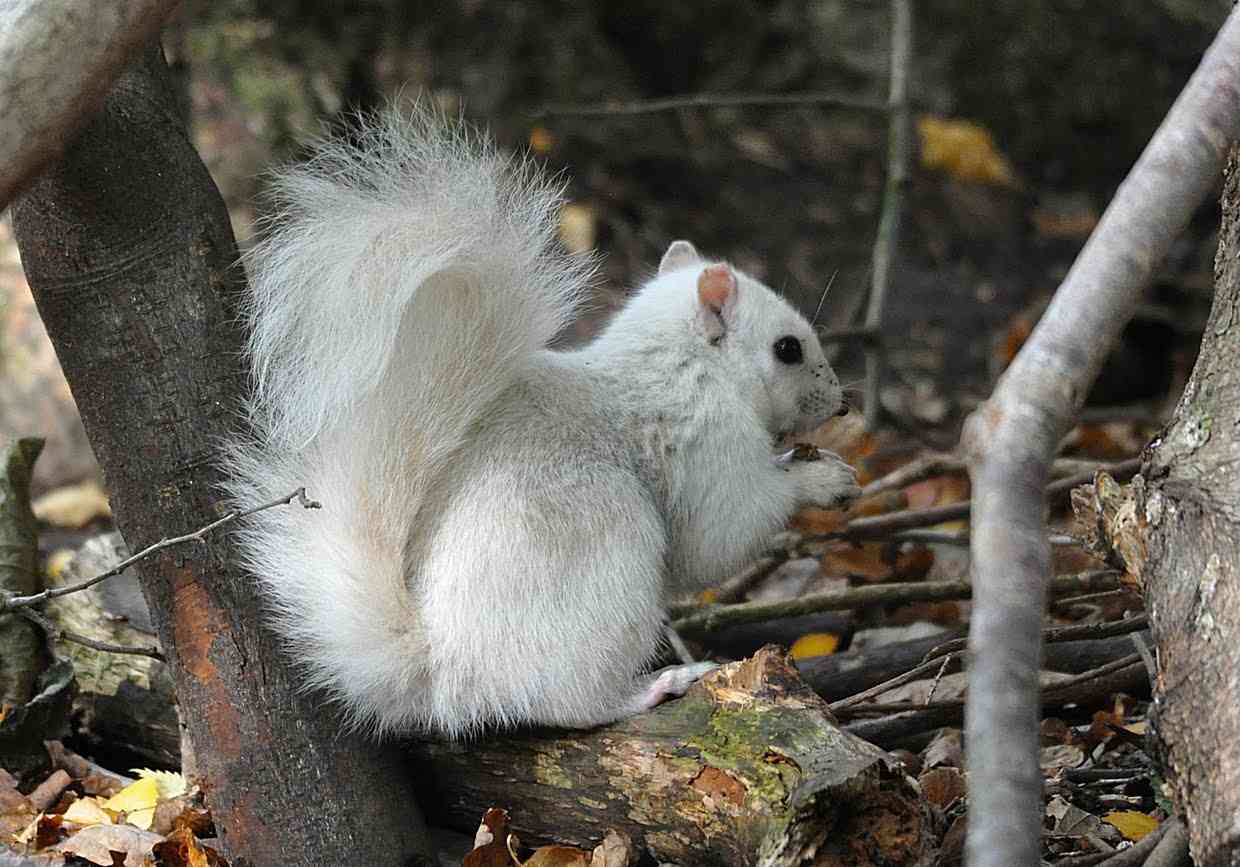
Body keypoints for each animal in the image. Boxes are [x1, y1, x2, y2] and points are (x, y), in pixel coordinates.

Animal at [224, 110, 859, 737]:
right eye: (787, 349)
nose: (841, 405)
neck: (682, 362)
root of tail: (444, 670)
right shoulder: (705, 440)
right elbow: (721, 536)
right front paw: (822, 479)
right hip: (608, 560)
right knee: (566, 703)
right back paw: (653, 686)